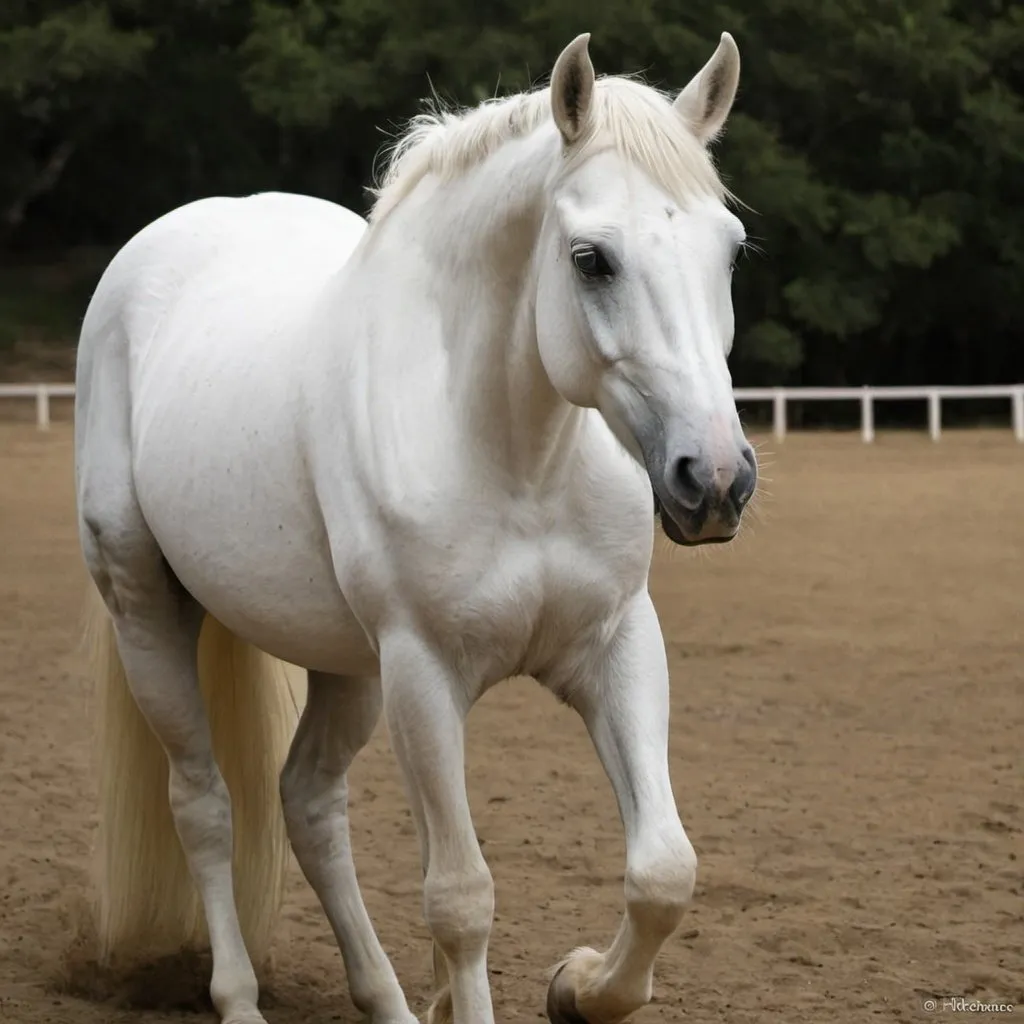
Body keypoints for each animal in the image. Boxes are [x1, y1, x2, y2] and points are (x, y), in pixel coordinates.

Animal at [75, 32, 757, 1024]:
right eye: (592, 258)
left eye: (730, 252)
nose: (714, 480)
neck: (516, 459)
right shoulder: (425, 674)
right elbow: (461, 899)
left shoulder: (616, 644)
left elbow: (664, 871)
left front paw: (578, 985)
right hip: (149, 615)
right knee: (204, 804)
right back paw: (238, 997)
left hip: (347, 668)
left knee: (308, 803)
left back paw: (388, 999)